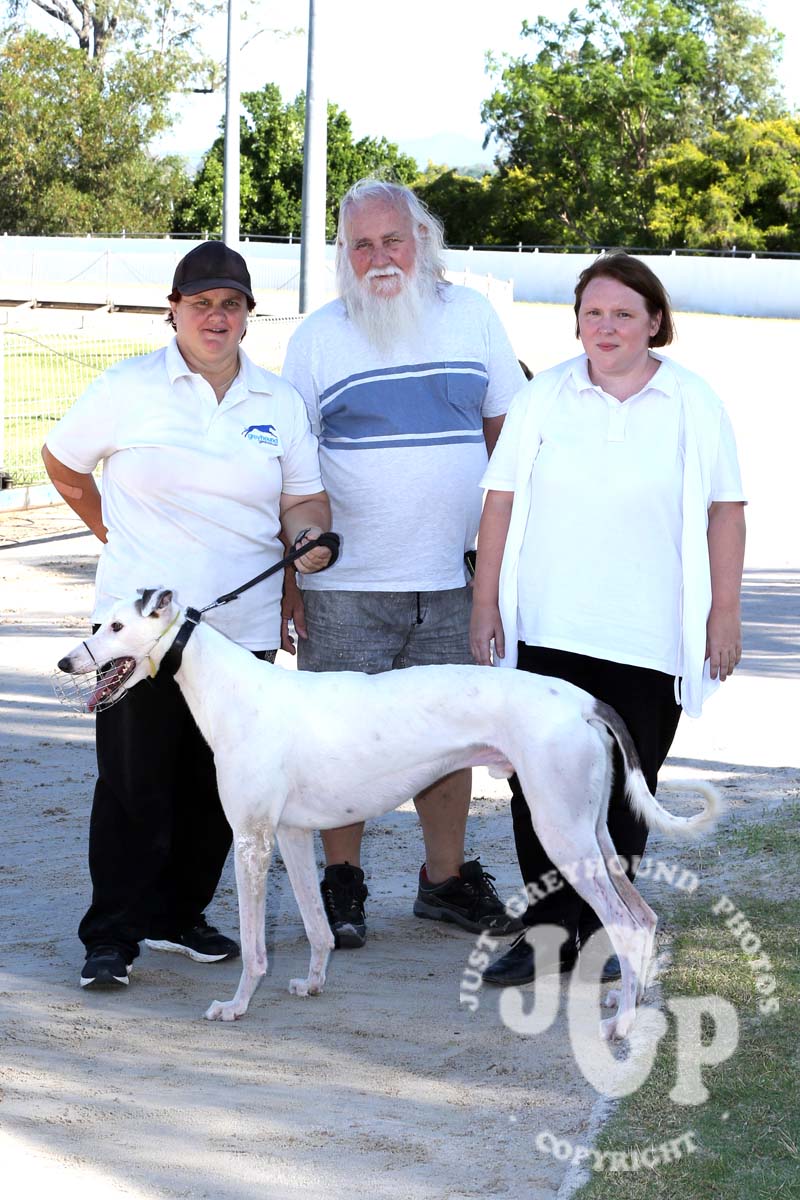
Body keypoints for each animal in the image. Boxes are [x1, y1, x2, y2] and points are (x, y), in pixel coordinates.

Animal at [57, 587, 721, 1039]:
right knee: (645, 917)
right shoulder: (291, 833)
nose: (66, 663)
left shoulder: (251, 839)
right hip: (591, 832)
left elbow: (254, 945)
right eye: (96, 623)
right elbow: (319, 926)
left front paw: (237, 1005)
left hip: (562, 834)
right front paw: (313, 983)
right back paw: (624, 1003)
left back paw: (622, 1026)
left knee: (627, 924)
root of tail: (584, 701)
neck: (235, 689)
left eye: (116, 626)